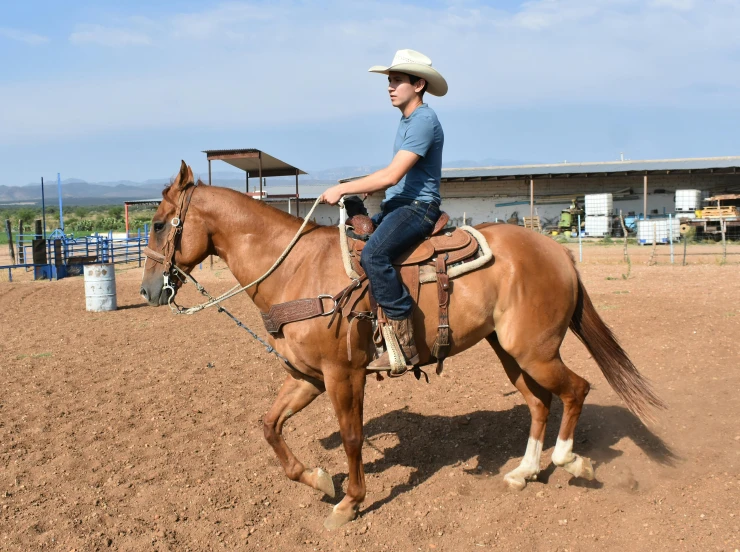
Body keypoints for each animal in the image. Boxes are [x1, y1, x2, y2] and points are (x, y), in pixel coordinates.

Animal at [140, 164, 664, 532]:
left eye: (161, 224)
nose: (148, 291)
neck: (295, 270)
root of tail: (557, 253)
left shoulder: (343, 374)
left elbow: (351, 437)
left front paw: (350, 502)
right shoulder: (307, 376)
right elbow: (269, 426)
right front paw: (318, 479)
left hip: (536, 351)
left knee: (576, 390)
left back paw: (570, 461)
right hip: (510, 351)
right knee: (541, 403)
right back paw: (524, 471)